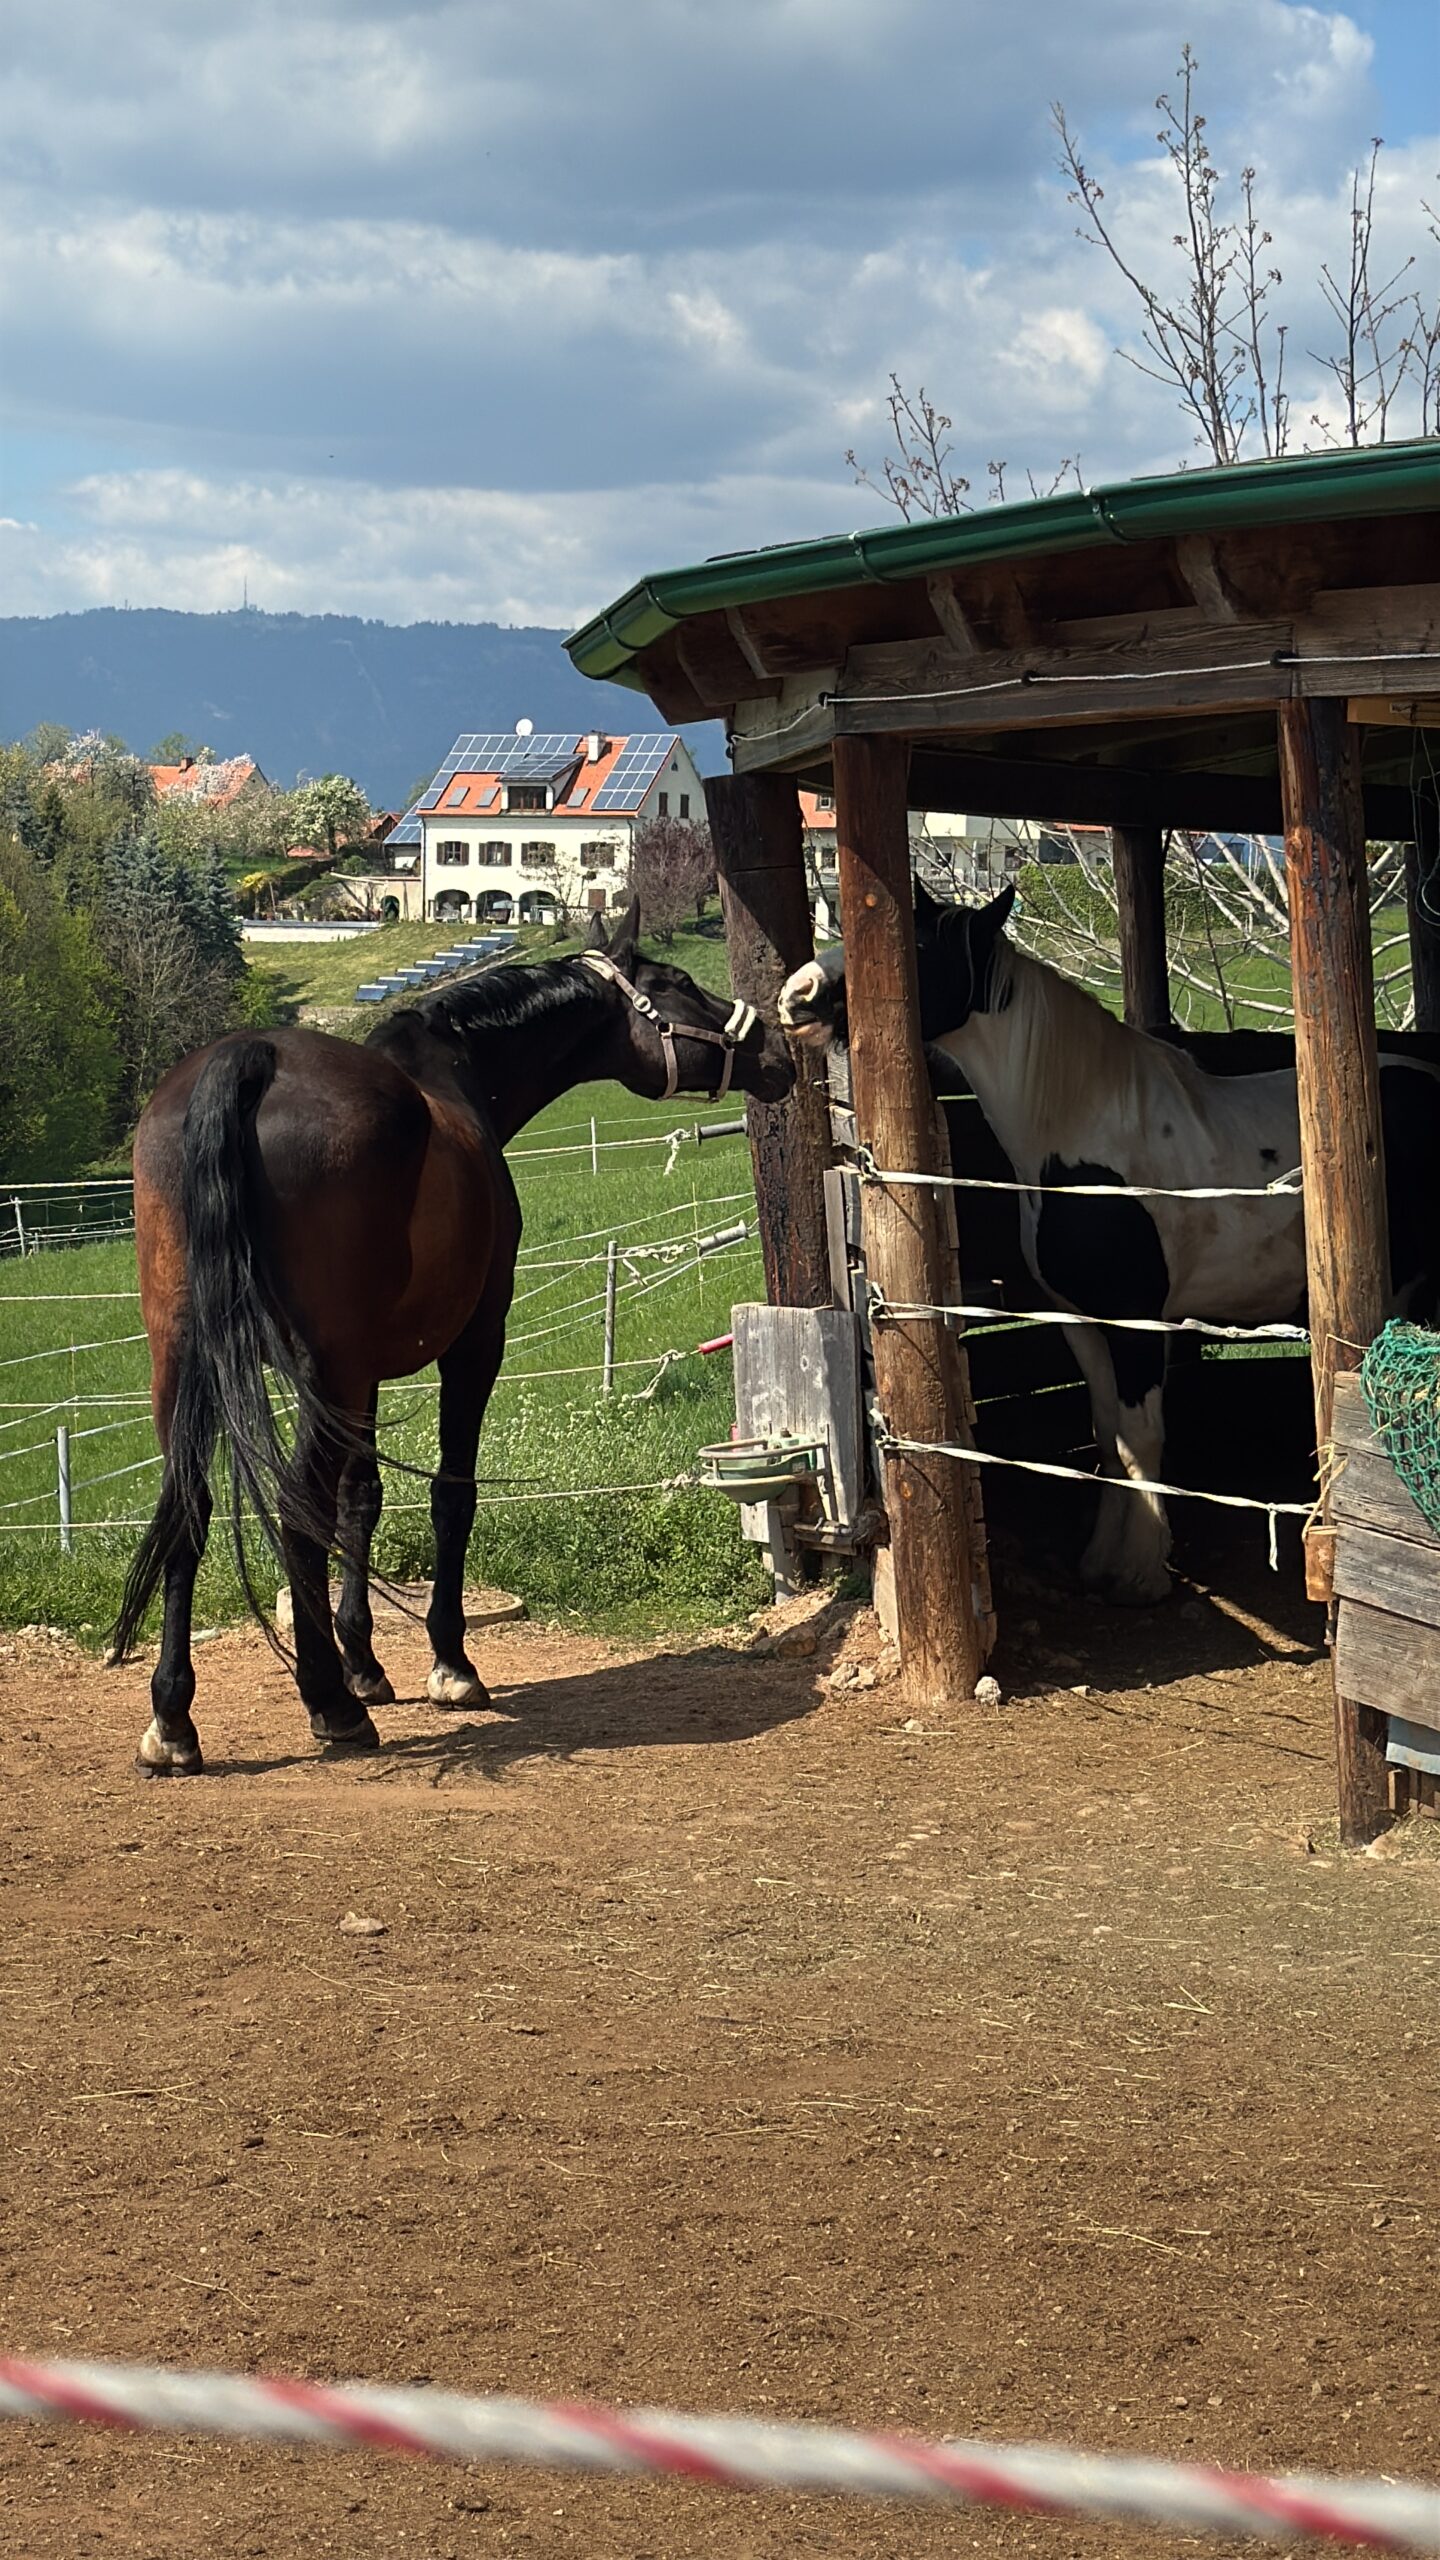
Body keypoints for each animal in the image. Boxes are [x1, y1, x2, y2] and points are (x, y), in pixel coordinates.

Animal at [112, 899, 793, 1773]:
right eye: (675, 982)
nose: (775, 1049)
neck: (453, 1073)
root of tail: (249, 1058)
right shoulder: (472, 1347)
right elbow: (449, 1494)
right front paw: (447, 1663)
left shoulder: (362, 1377)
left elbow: (362, 1500)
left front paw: (366, 1662)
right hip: (322, 1367)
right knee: (296, 1507)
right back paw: (327, 1706)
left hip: (188, 1363)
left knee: (189, 1507)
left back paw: (174, 1717)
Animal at [780, 883, 1440, 1605]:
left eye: (916, 947)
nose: (796, 996)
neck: (1084, 1129)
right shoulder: (1079, 1321)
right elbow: (1105, 1434)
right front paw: (1102, 1557)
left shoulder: (1136, 1321)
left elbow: (1141, 1438)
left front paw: (1143, 1569)